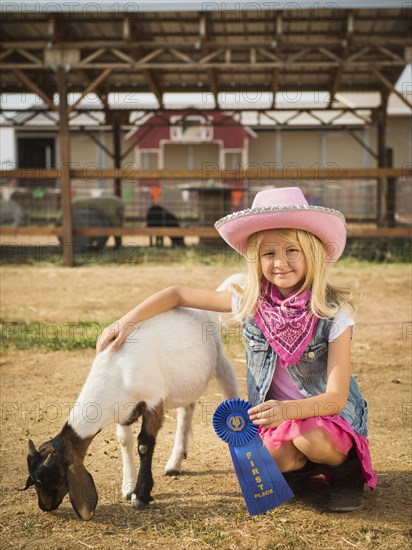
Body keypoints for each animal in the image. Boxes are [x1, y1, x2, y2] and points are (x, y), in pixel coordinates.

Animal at [24, 304, 240, 524]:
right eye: (34, 480)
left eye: (56, 476)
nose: (45, 506)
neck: (118, 369)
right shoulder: (123, 410)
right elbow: (124, 440)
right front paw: (128, 486)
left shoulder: (153, 401)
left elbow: (144, 444)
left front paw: (141, 495)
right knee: (187, 409)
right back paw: (175, 462)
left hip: (220, 362)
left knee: (230, 390)